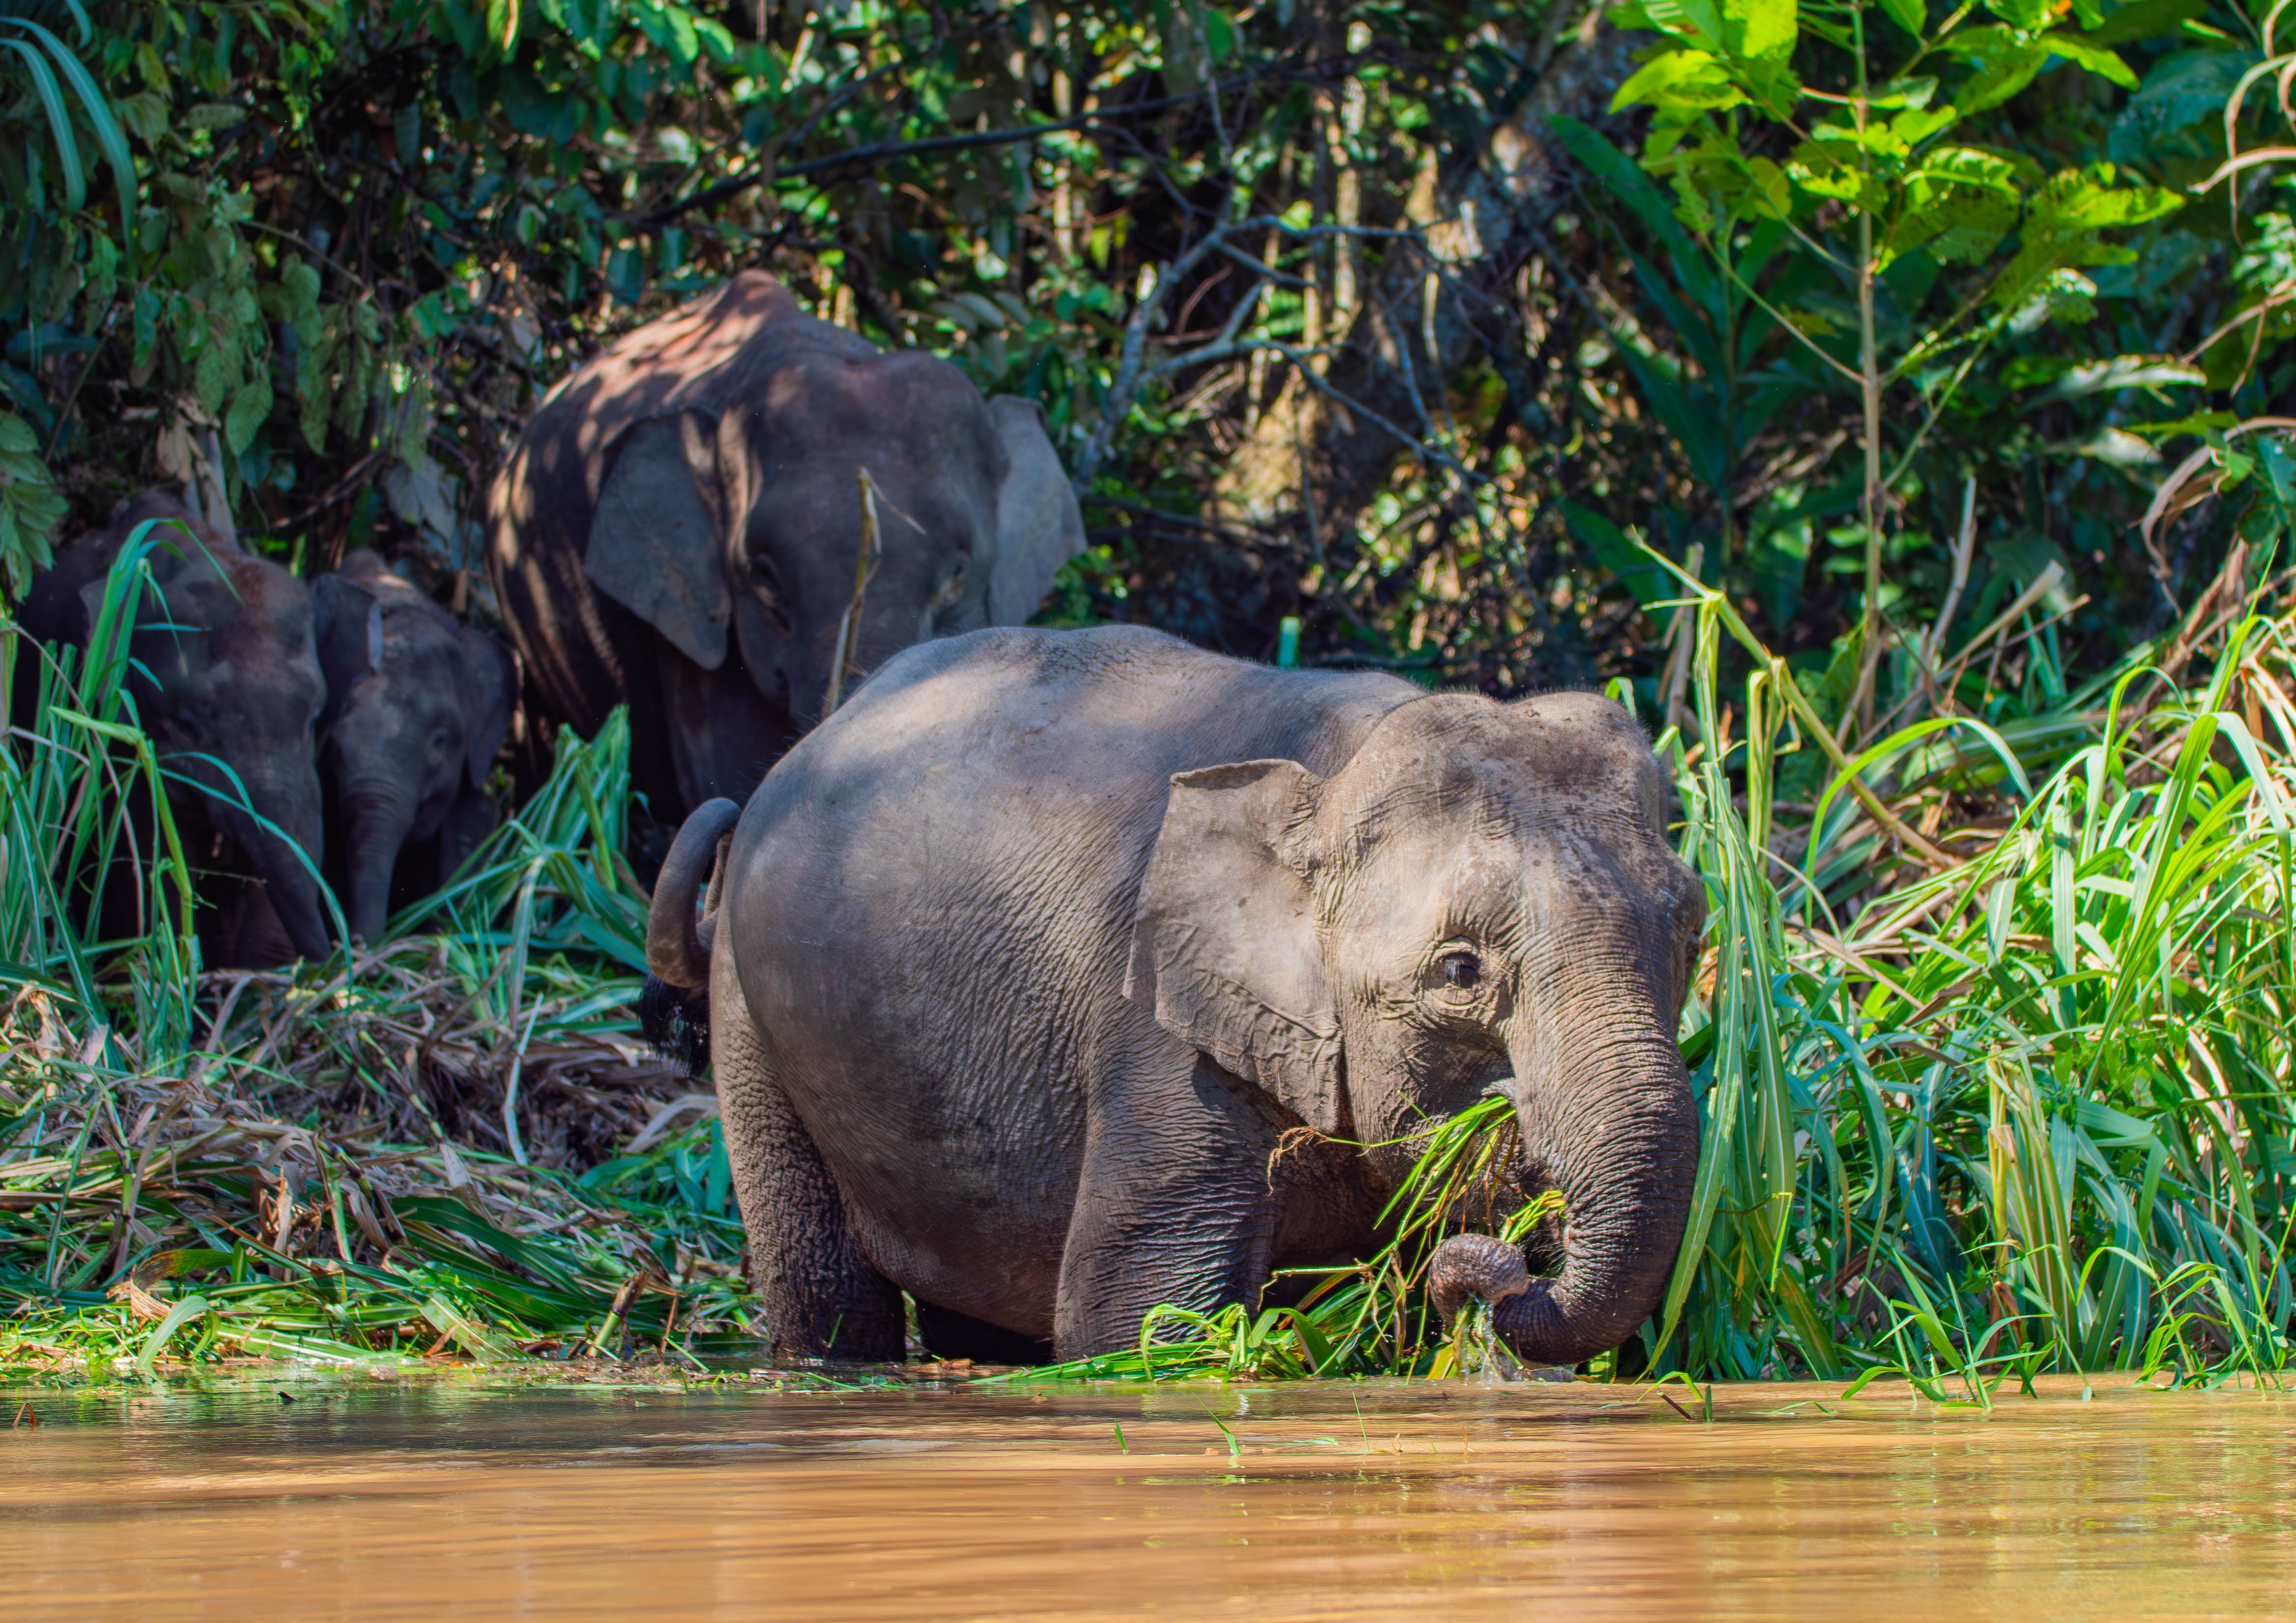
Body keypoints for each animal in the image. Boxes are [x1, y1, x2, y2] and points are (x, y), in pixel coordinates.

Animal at [17, 490, 332, 967]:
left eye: (314, 718)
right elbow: (147, 865)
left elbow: (301, 838)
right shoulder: (114, 729)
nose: (334, 954)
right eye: (187, 725)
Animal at [641, 625, 1705, 1367]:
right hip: (750, 1011)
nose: (1502, 1260)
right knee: (824, 1284)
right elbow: (1136, 1315)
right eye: (1459, 970)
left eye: (1690, 931)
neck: (1332, 774)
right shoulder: (1156, 1028)